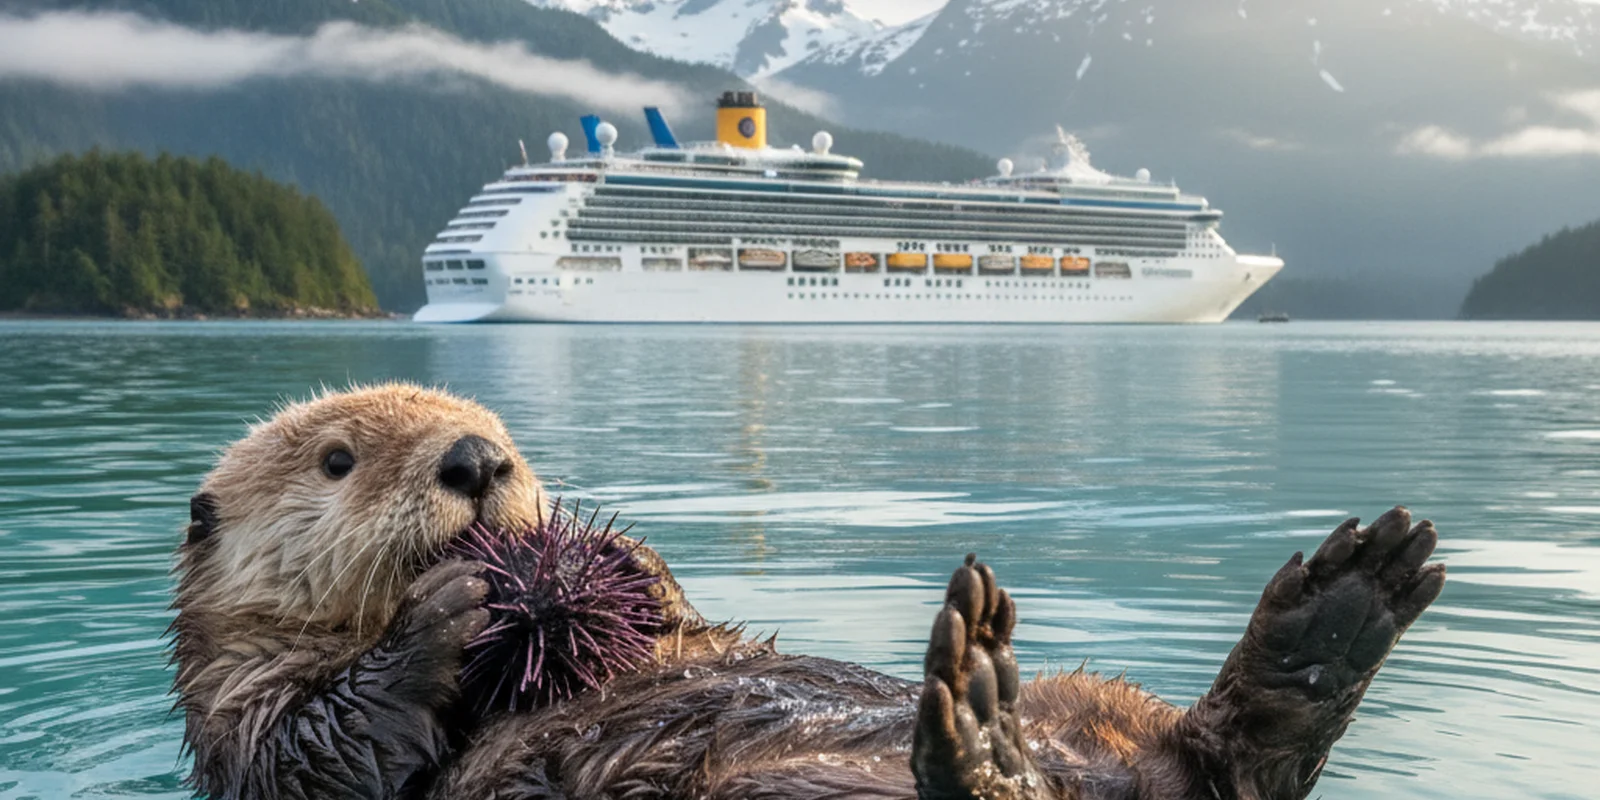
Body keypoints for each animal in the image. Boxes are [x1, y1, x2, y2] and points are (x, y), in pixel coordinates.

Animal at [171, 385, 1445, 800]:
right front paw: (443, 609)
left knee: (1222, 759)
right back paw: (976, 734)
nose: (477, 461)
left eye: (506, 440)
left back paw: (1337, 614)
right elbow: (326, 750)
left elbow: (682, 615)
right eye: (338, 458)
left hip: (1101, 702)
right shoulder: (242, 715)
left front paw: (630, 563)